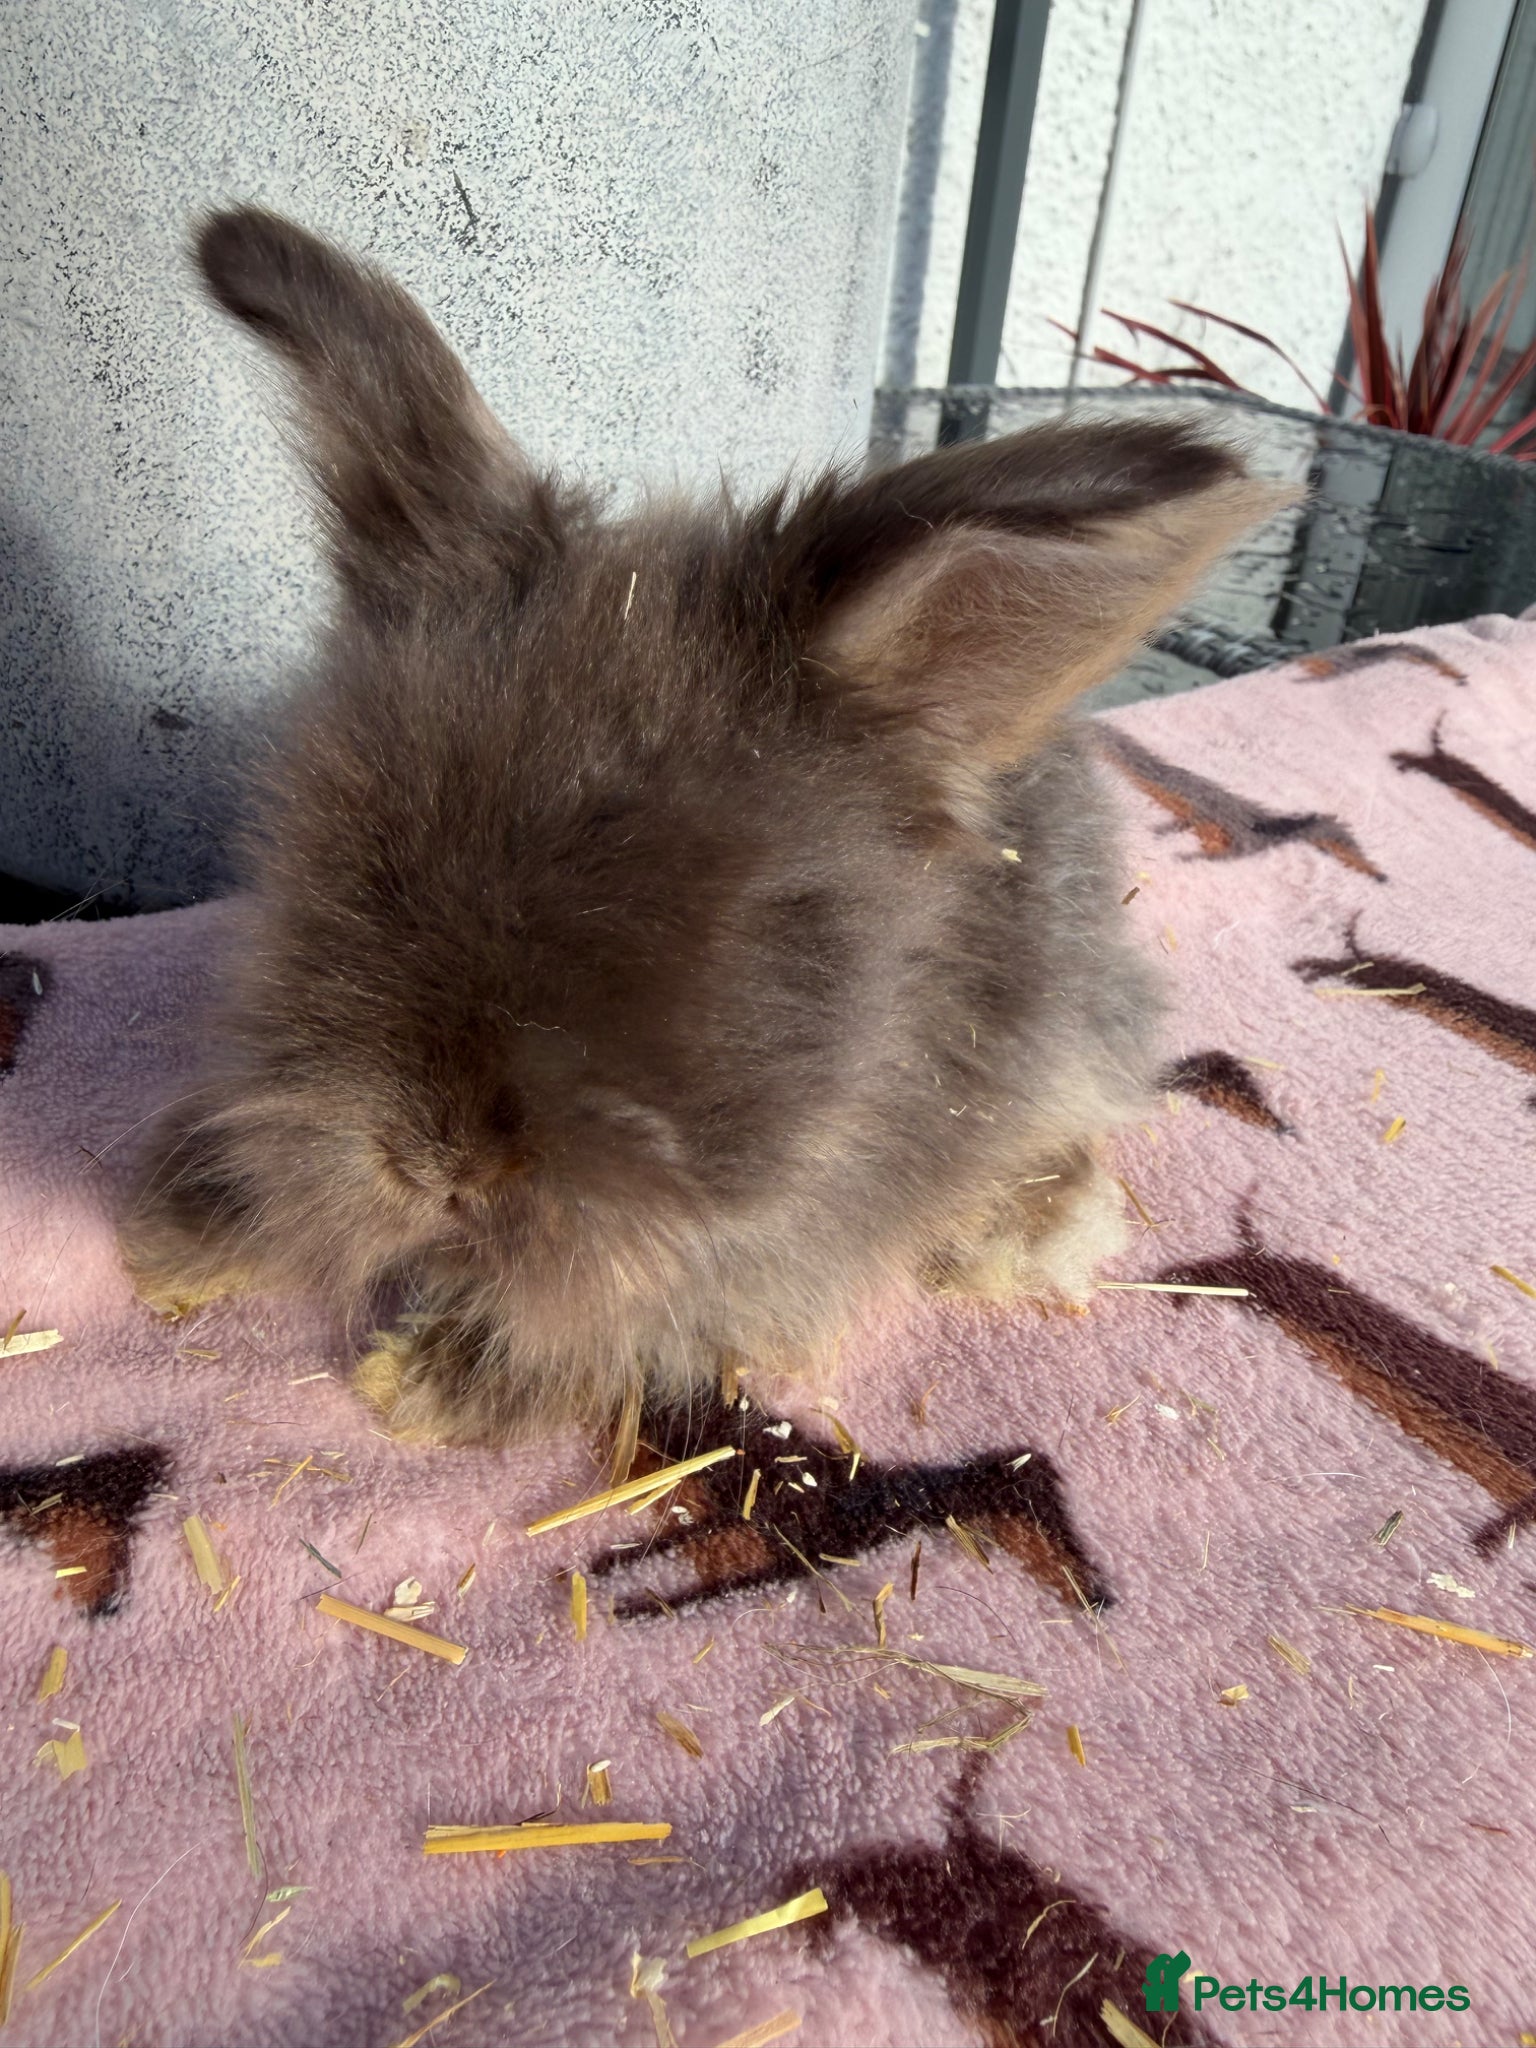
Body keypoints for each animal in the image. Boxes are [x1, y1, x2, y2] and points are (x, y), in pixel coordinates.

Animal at [118, 205, 1284, 1446]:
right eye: (342, 860)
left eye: (754, 923)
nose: (437, 1163)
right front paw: (180, 1235)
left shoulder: (769, 1237)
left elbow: (627, 1318)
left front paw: (435, 1378)